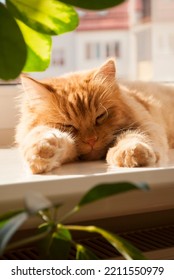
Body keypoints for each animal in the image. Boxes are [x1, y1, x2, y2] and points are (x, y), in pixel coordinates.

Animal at [15, 58, 174, 173]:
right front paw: (42, 152)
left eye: (100, 116)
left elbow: (133, 136)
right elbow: (43, 135)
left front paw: (129, 152)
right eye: (68, 125)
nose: (91, 140)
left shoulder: (146, 124)